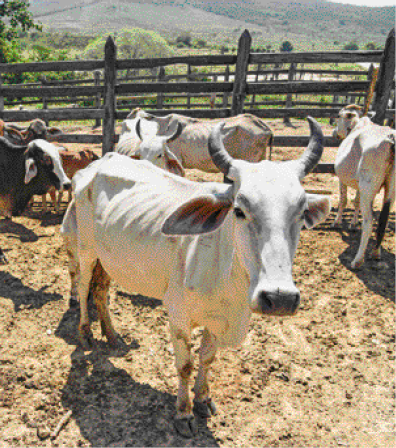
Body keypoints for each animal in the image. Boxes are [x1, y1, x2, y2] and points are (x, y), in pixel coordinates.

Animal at [60, 116, 330, 438]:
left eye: (301, 212)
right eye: (239, 210)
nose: (279, 298)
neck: (229, 281)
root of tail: (96, 163)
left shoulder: (217, 319)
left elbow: (207, 358)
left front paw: (202, 400)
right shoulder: (178, 316)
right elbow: (185, 365)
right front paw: (183, 413)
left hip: (108, 258)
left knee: (100, 291)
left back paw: (112, 336)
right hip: (87, 249)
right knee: (83, 285)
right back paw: (86, 333)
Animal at [332, 103, 394, 268]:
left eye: (339, 116)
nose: (335, 133)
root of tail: (391, 139)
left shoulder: (342, 179)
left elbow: (343, 200)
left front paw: (337, 222)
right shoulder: (359, 185)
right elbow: (356, 202)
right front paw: (353, 224)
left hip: (368, 187)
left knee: (369, 222)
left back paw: (357, 260)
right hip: (391, 190)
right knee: (383, 220)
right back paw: (376, 253)